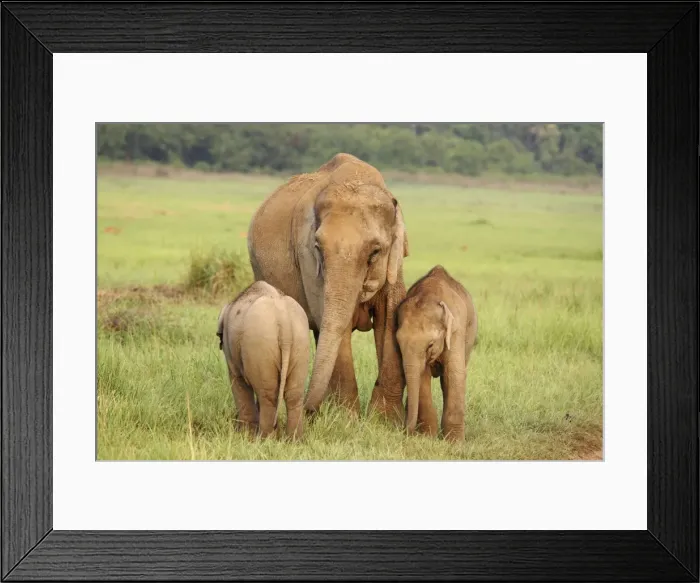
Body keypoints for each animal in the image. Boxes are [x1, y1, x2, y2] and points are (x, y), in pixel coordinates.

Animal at [216, 280, 310, 439]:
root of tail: (283, 318)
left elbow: (238, 381)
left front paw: (245, 435)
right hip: (300, 341)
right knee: (294, 394)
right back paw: (294, 440)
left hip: (260, 343)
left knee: (268, 395)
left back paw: (264, 438)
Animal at [247, 153, 409, 421]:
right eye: (318, 248)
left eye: (375, 252)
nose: (306, 410)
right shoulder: (307, 261)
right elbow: (329, 319)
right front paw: (347, 420)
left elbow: (389, 317)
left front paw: (383, 421)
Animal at [395, 265, 478, 442]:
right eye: (398, 343)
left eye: (430, 345)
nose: (406, 433)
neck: (429, 293)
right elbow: (422, 376)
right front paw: (427, 437)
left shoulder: (456, 331)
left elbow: (454, 374)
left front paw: (455, 443)